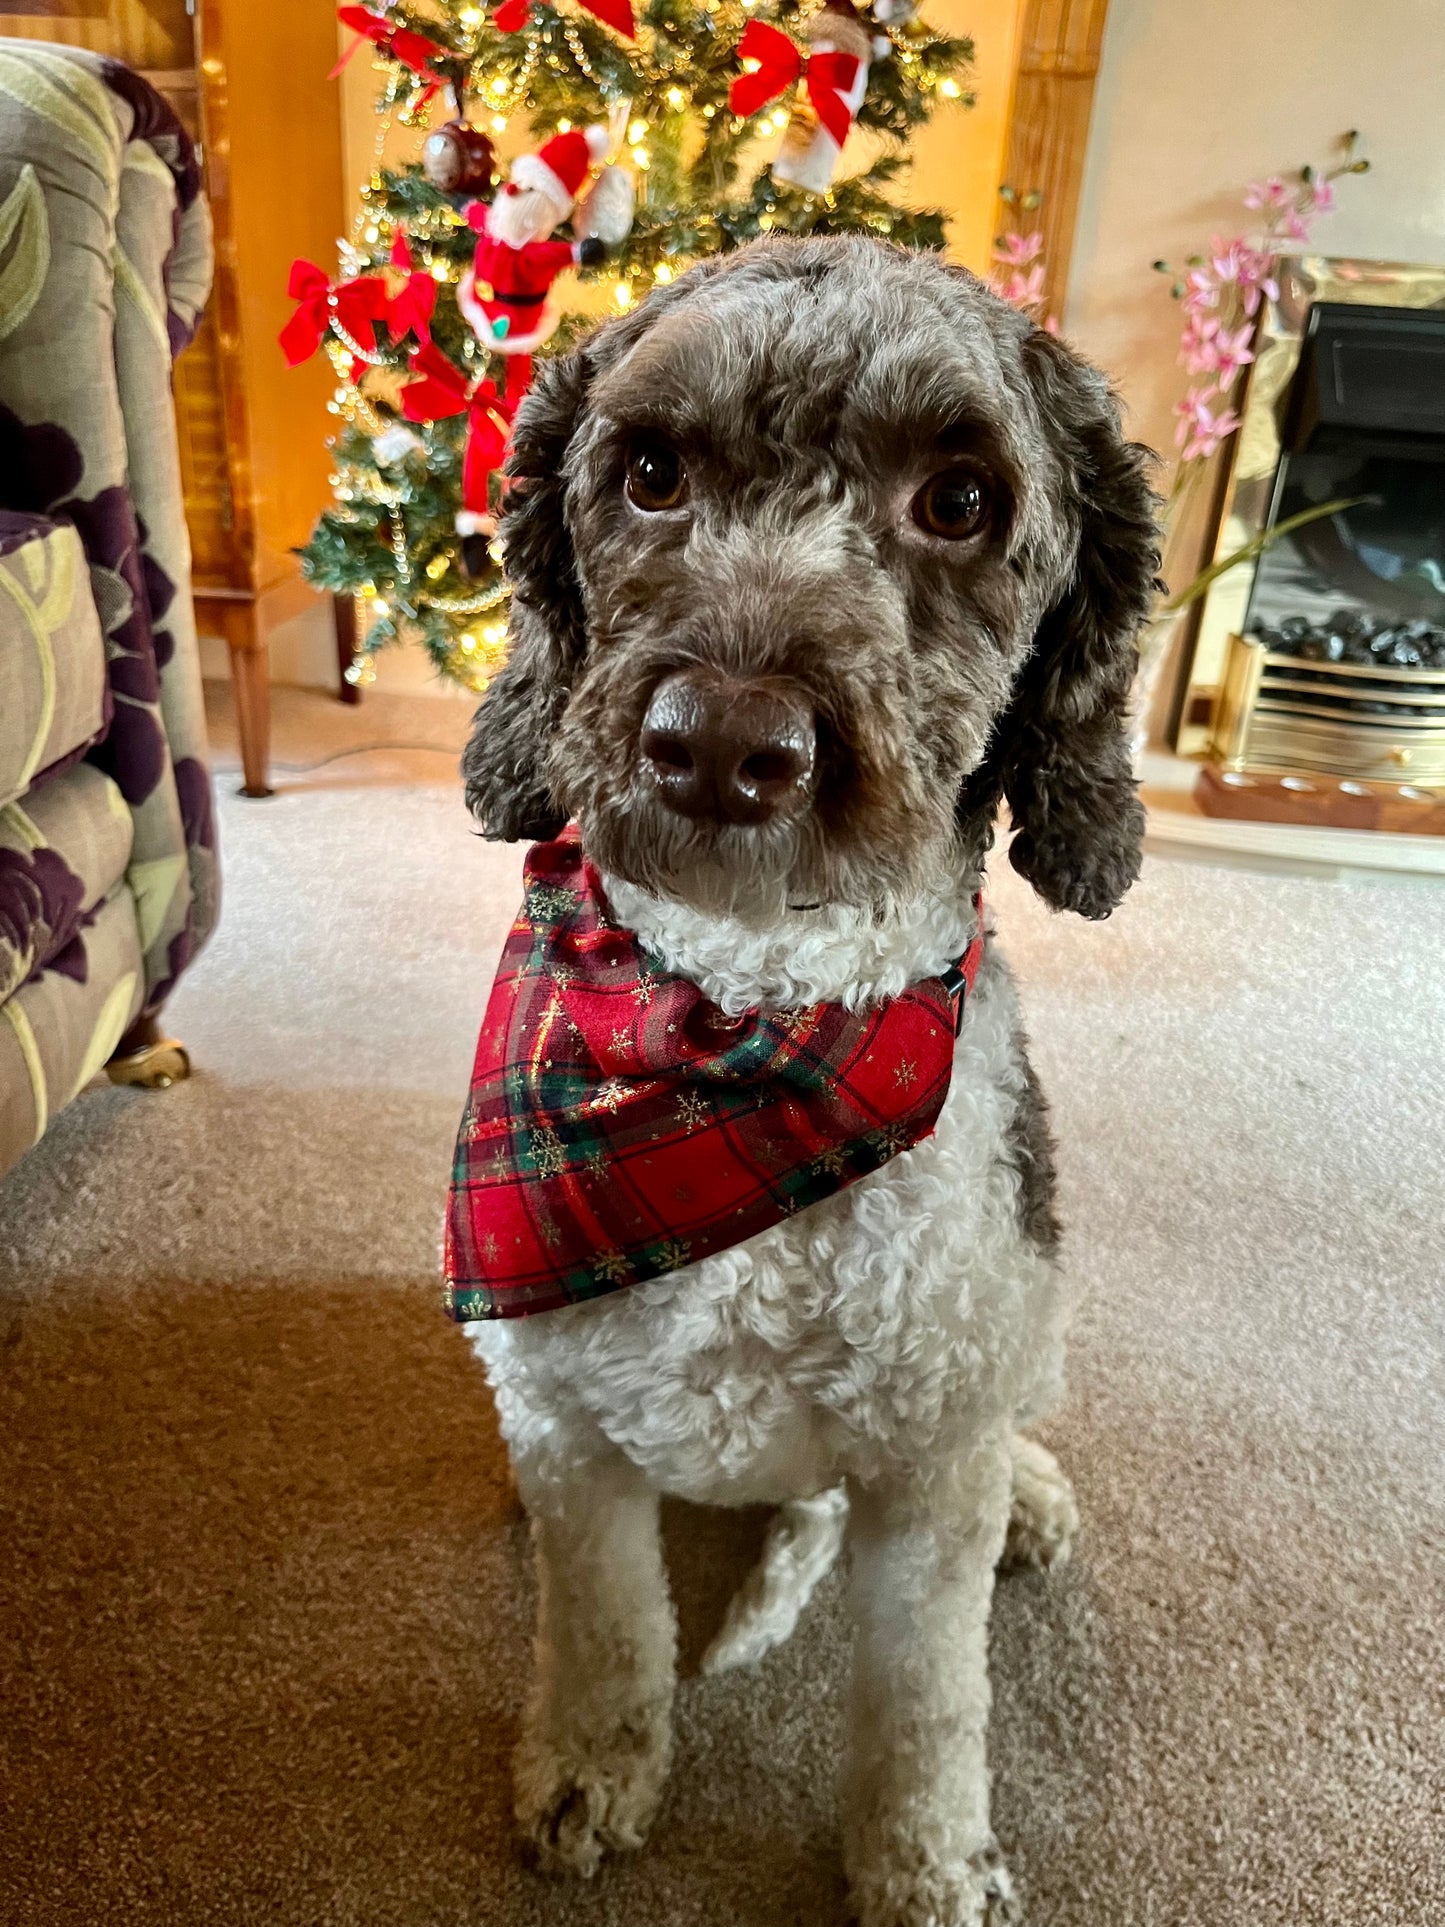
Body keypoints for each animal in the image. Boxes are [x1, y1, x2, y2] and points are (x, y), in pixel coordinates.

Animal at [458, 237, 1163, 1927]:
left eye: (958, 499)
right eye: (650, 471)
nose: (720, 741)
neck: (740, 1048)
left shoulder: (923, 1477)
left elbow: (924, 1701)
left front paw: (922, 1863)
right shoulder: (570, 1434)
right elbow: (605, 1627)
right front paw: (587, 1770)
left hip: (1025, 1315)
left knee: (1015, 1418)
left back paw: (1034, 1494)